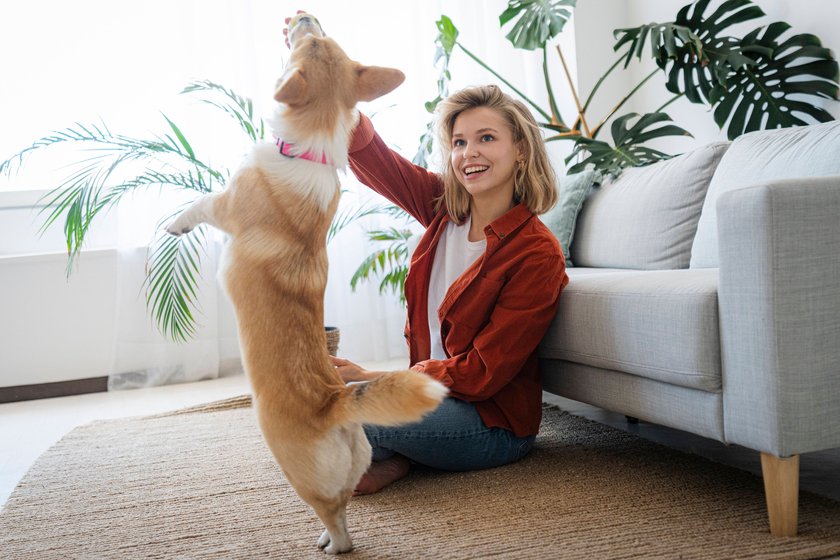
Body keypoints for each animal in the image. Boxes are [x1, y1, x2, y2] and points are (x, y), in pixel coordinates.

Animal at [167, 14, 450, 556]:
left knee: (335, 521)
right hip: (355, 457)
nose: (303, 16)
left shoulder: (226, 206)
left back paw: (329, 543)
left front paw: (175, 222)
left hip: (295, 471)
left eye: (309, 41)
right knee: (343, 503)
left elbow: (202, 203)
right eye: (324, 38)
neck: (310, 147)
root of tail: (333, 403)